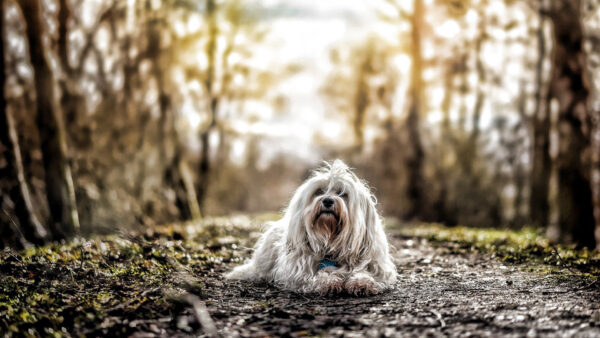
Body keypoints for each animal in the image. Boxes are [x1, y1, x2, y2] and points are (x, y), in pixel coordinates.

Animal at [227, 160, 396, 294]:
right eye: (319, 191)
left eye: (342, 193)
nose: (327, 200)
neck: (331, 244)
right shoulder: (296, 273)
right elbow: (312, 277)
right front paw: (328, 280)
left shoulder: (378, 268)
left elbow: (369, 274)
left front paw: (362, 282)